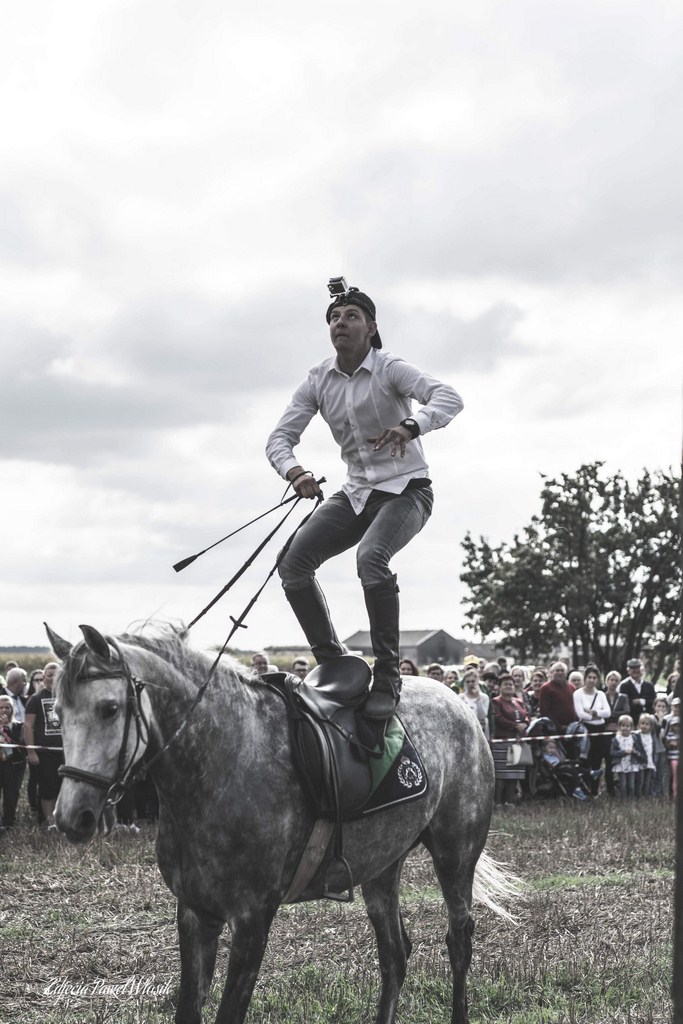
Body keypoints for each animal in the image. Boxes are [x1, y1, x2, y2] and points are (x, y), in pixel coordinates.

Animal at [48, 622, 507, 1024]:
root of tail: (459, 706)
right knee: (395, 954)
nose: (71, 816)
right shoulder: (195, 913)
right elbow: (188, 1010)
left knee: (459, 940)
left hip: (454, 858)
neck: (223, 758)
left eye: (108, 709)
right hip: (381, 867)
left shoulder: (252, 920)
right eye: (58, 712)